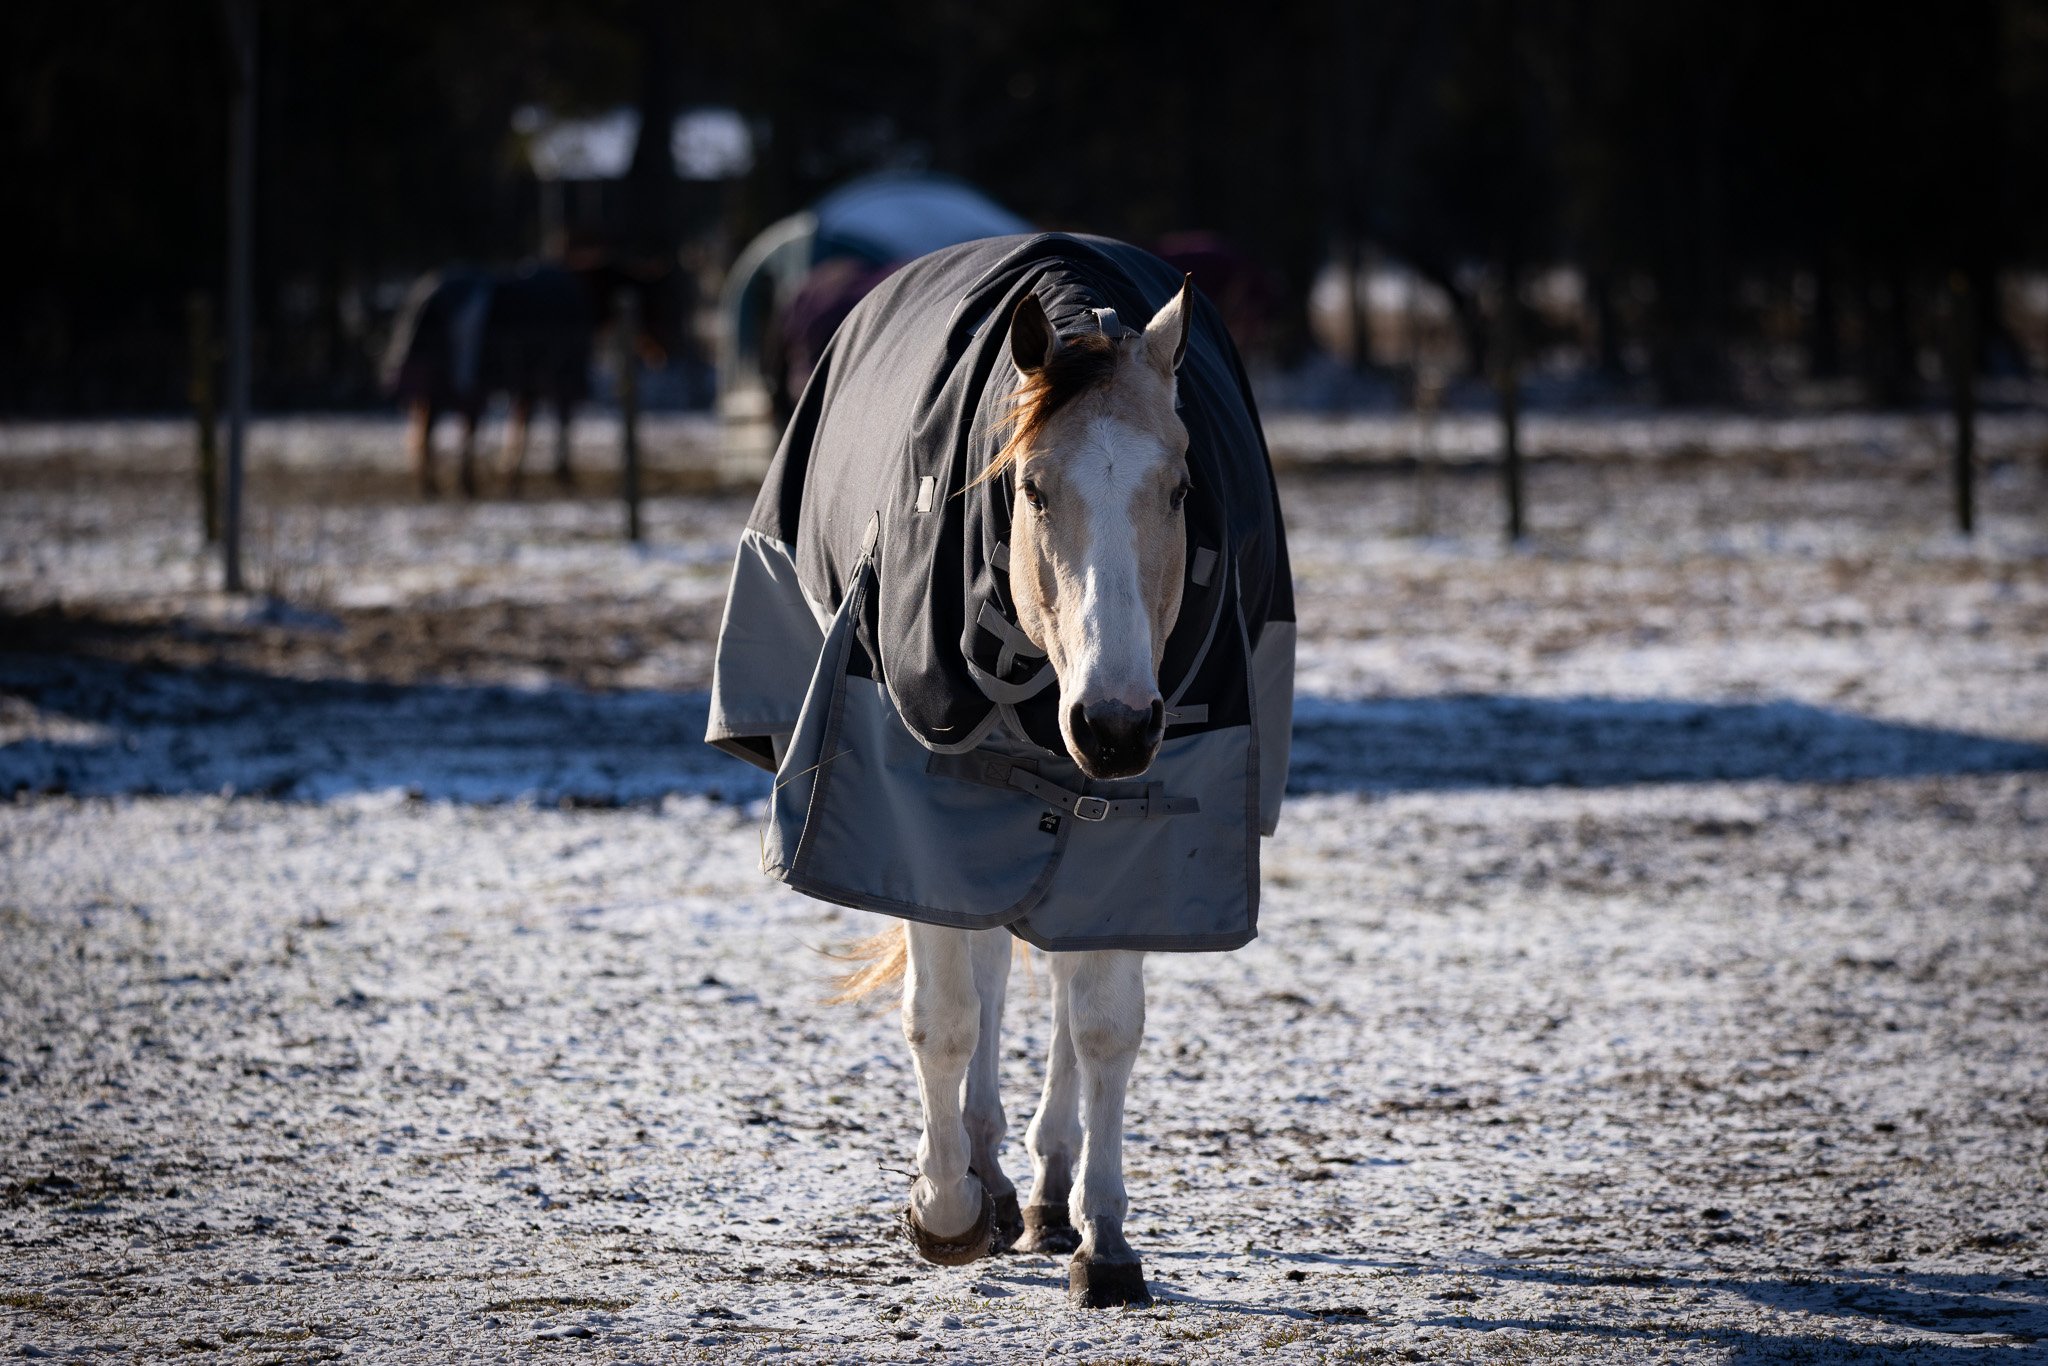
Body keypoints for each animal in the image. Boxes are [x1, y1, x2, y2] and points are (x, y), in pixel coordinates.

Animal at [381, 257, 674, 498]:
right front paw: (556, 475)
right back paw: (456, 484)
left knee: (430, 429)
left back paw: (440, 484)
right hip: (450, 385)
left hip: (437, 386)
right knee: (438, 428)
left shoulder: (527, 384)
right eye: (658, 305)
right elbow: (548, 422)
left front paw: (512, 476)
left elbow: (520, 425)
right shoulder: (554, 378)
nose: (663, 353)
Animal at [705, 233, 1294, 1309]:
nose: (1114, 724)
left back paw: (1049, 1185)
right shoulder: (906, 799)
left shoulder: (1142, 817)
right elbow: (942, 1017)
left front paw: (1105, 1239)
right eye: (1031, 489)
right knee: (978, 964)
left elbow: (1103, 1026)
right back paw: (981, 1167)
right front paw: (944, 1208)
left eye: (1179, 490)